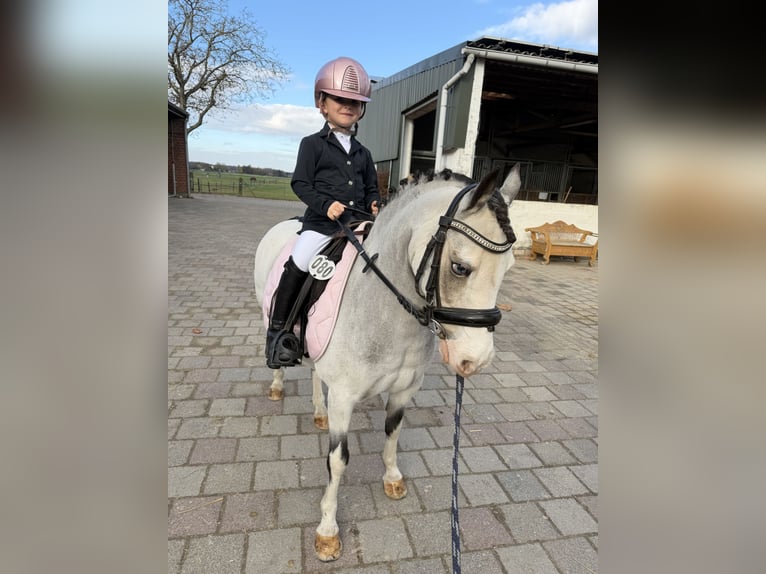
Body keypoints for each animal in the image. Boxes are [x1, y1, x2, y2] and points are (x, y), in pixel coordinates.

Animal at [253, 165, 520, 561]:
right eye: (459, 267)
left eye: (508, 268)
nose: (475, 359)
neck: (383, 311)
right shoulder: (344, 398)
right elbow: (338, 459)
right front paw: (327, 531)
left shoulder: (404, 389)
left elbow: (393, 432)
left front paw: (392, 479)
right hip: (267, 312)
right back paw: (276, 384)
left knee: (316, 370)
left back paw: (318, 411)